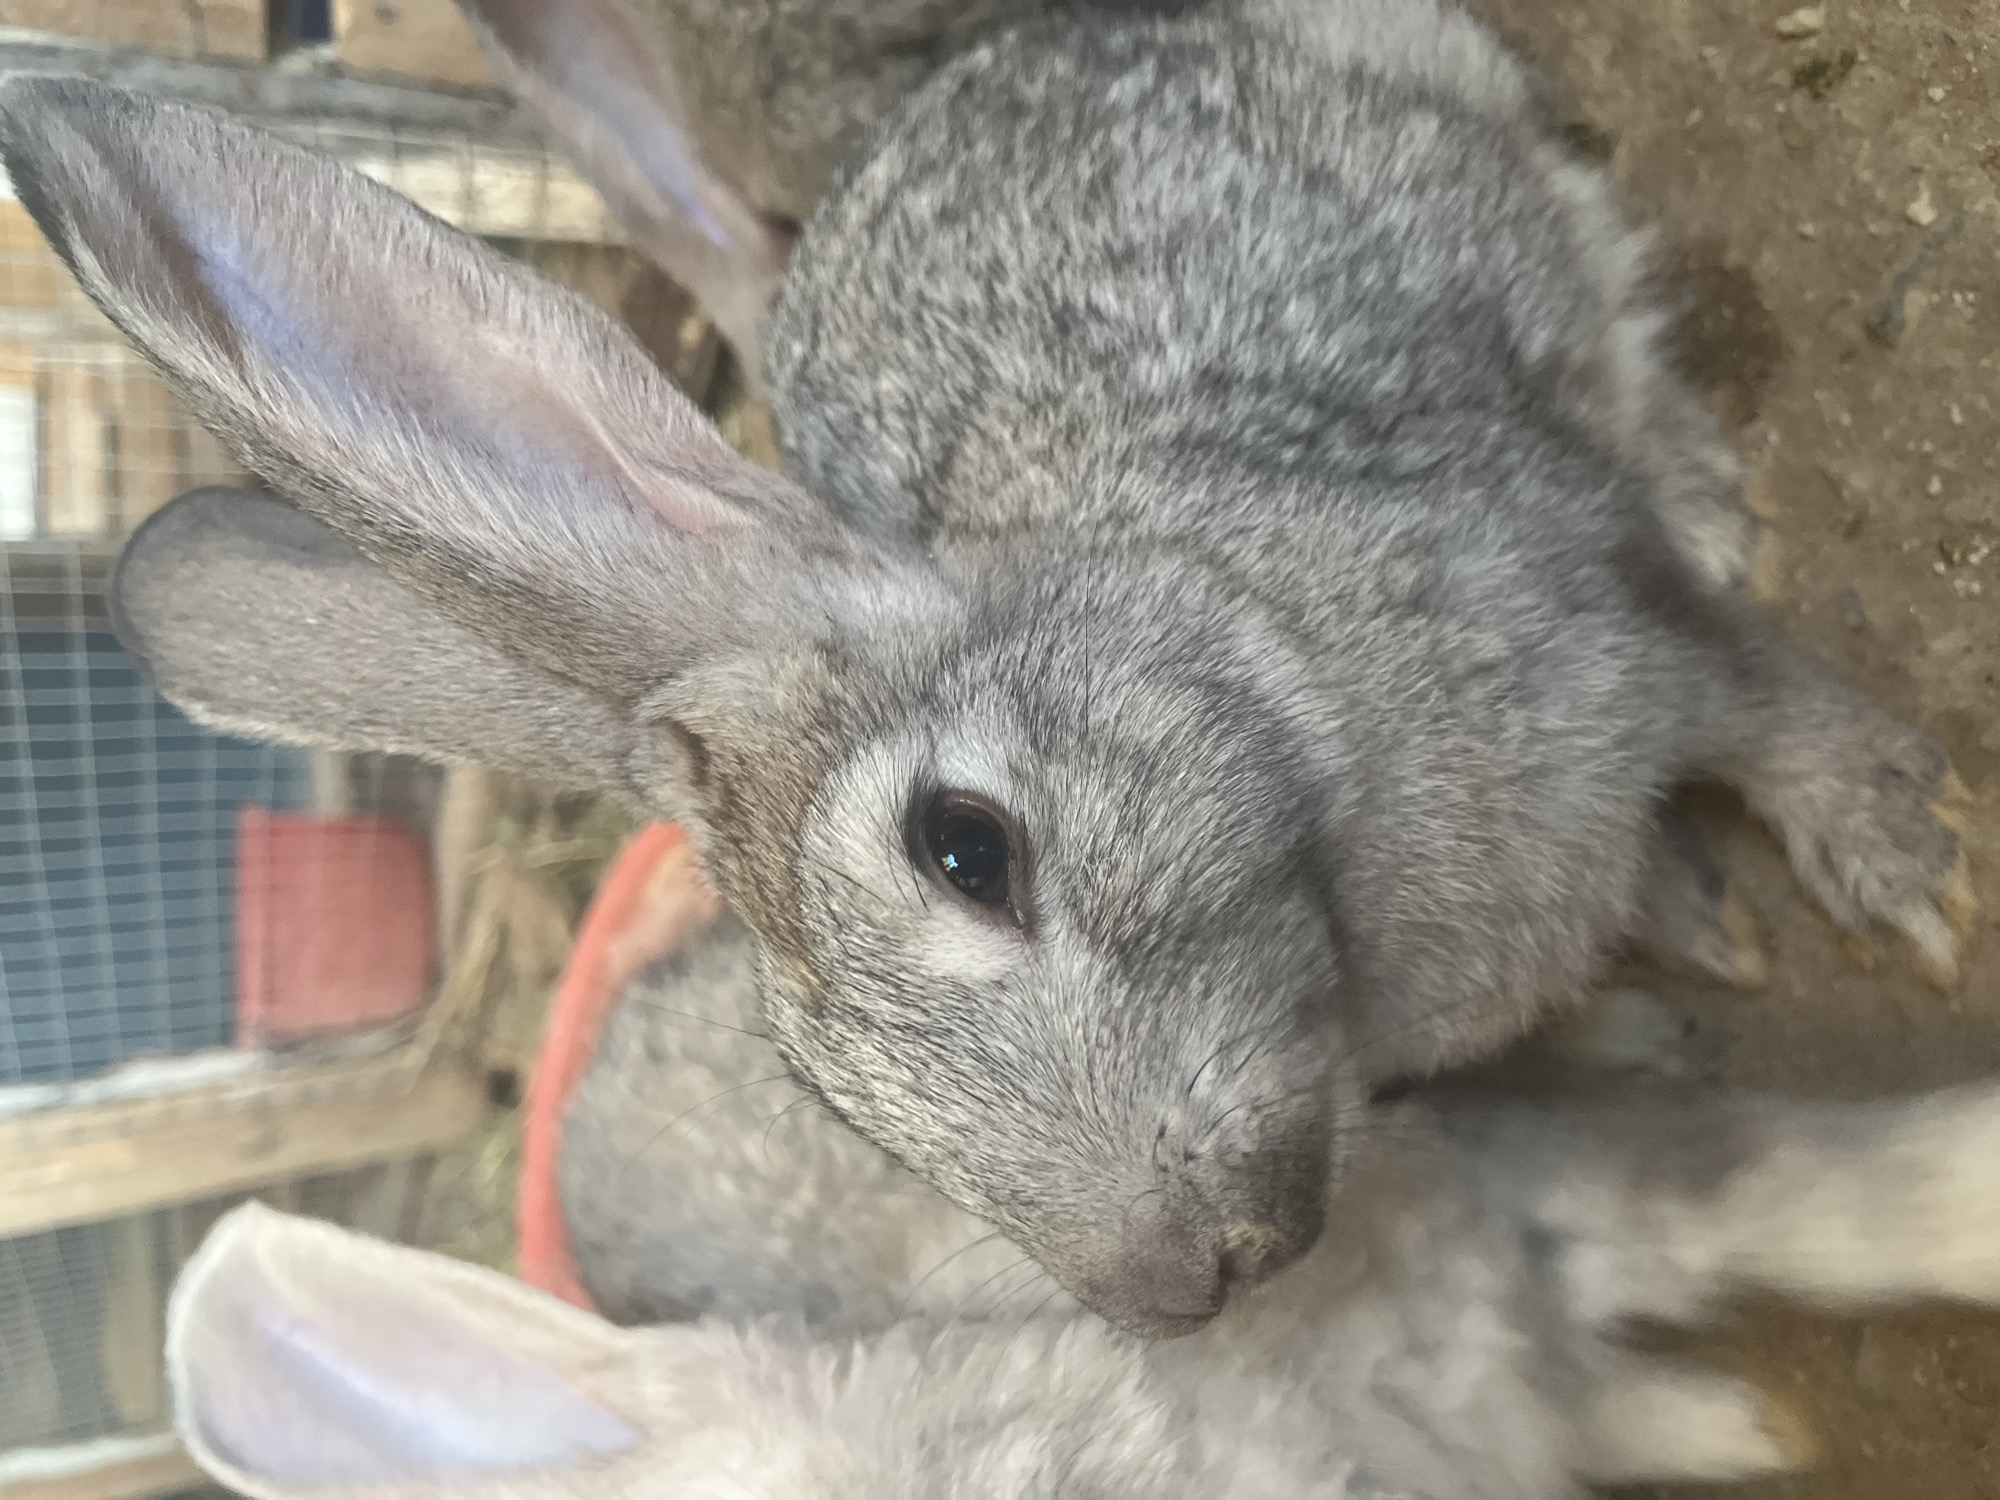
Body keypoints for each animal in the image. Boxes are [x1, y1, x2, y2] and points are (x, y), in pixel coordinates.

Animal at [0, 12, 1973, 1338]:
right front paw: (1682, 949)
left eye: (971, 848)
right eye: (828, 1104)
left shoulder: (1586, 599)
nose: (1190, 1286)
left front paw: (1911, 867)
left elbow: (1760, 694)